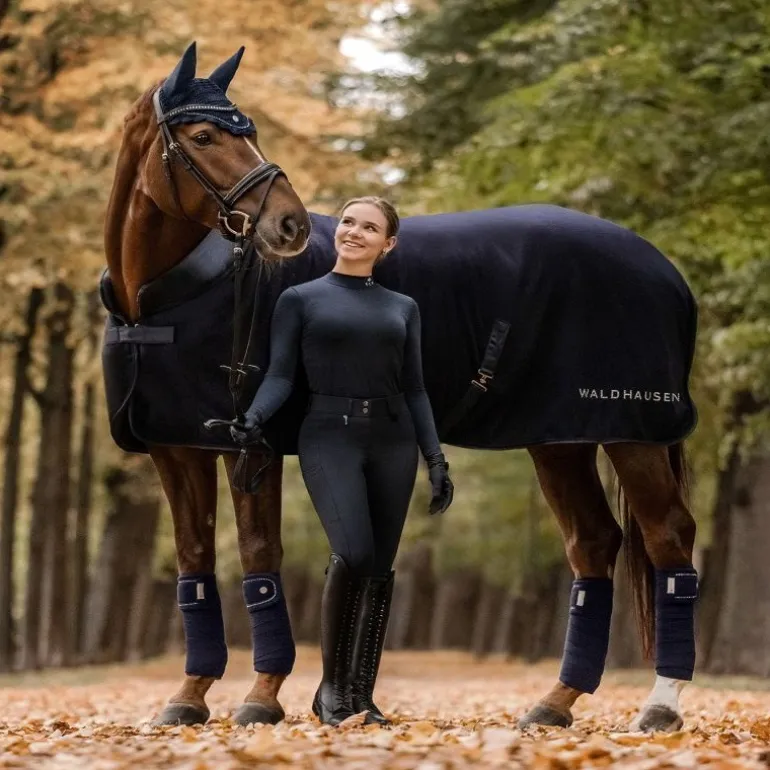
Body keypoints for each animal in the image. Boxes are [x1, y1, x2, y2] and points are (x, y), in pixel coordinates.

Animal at [103, 45, 698, 732]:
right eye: (203, 136)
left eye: (246, 132)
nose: (288, 225)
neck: (167, 298)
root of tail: (666, 271)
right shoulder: (176, 447)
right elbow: (195, 562)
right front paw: (188, 696)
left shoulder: (248, 448)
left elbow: (257, 556)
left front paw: (261, 696)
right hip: (562, 439)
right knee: (593, 543)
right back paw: (555, 702)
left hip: (633, 435)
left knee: (667, 537)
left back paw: (660, 705)